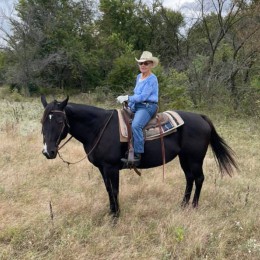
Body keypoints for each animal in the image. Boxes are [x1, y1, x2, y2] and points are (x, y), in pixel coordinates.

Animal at [40, 96, 238, 216]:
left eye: (60, 121)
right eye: (42, 121)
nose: (48, 152)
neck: (99, 128)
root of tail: (201, 117)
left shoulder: (111, 167)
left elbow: (115, 190)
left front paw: (116, 216)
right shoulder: (103, 168)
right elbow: (108, 189)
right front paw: (111, 212)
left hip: (195, 159)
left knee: (199, 178)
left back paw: (194, 206)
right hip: (184, 158)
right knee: (189, 178)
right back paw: (182, 205)